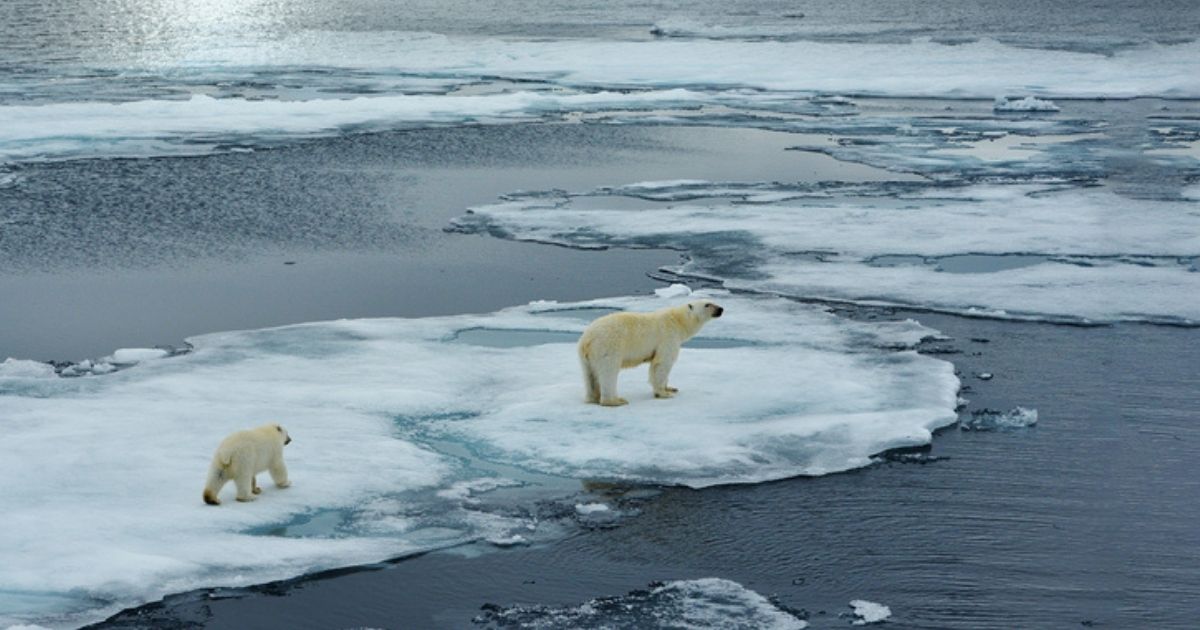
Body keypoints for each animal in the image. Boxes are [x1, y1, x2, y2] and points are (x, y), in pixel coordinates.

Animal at [578, 298, 720, 405]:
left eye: (712, 300)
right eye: (707, 304)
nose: (721, 309)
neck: (678, 321)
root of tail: (586, 340)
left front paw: (671, 388)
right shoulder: (668, 336)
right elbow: (662, 362)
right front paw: (664, 393)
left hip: (586, 356)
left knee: (589, 374)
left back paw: (593, 398)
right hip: (608, 346)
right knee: (608, 371)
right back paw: (616, 400)